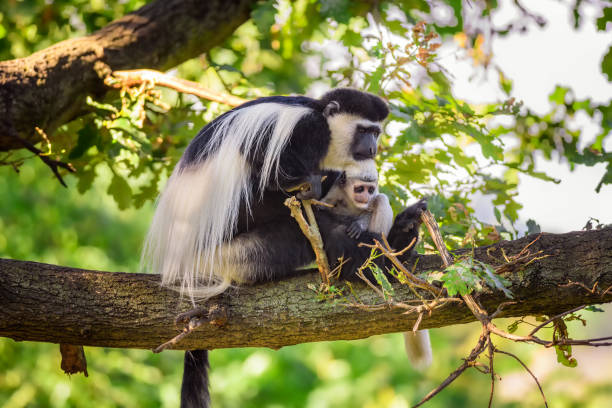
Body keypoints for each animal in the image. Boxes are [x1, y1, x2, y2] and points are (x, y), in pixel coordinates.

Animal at [145, 87, 426, 406]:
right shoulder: (304, 130)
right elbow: (269, 166)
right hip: (237, 240)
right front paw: (313, 188)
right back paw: (375, 258)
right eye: (364, 130)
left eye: (376, 132)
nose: (371, 148)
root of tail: (184, 258)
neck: (323, 120)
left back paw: (401, 235)